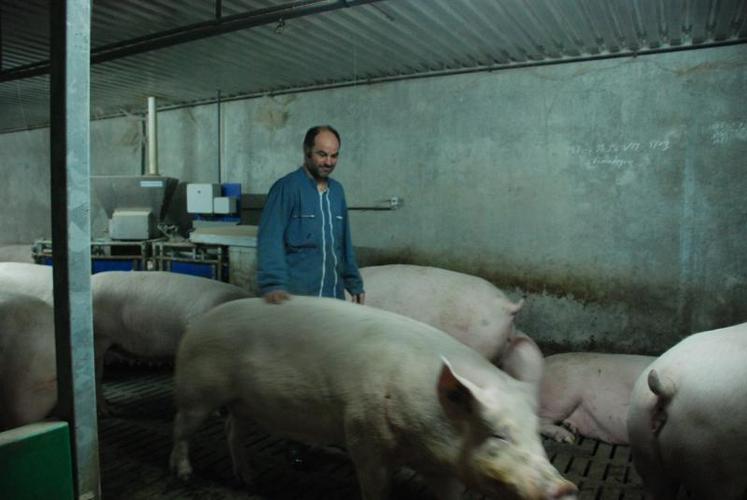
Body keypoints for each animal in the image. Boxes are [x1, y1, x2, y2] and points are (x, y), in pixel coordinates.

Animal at [169, 296, 580, 500]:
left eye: (536, 435)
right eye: (498, 434)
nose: (565, 488)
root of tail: (198, 323)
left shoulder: (444, 467)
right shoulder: (363, 436)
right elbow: (375, 487)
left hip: (242, 402)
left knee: (233, 431)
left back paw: (249, 480)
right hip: (195, 389)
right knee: (182, 428)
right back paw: (185, 476)